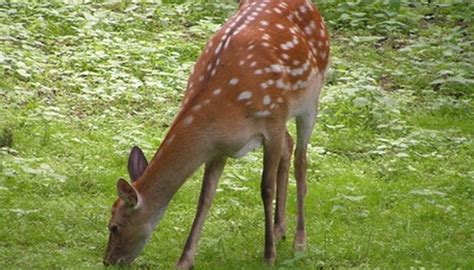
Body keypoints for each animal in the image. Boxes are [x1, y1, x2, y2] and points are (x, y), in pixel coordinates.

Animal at [103, 0, 330, 268]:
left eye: (114, 227)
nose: (108, 260)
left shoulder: (272, 120)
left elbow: (266, 188)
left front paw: (269, 256)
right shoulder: (218, 147)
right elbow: (205, 198)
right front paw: (184, 260)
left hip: (310, 96)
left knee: (301, 160)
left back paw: (299, 242)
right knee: (289, 145)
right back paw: (279, 230)